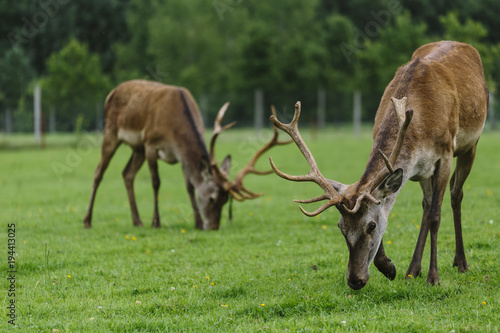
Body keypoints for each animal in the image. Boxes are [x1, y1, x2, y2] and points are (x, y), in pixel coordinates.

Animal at [84, 79, 290, 230]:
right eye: (212, 198)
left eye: (226, 201)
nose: (213, 226)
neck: (173, 127)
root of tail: (111, 93)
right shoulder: (150, 144)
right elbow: (156, 182)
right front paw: (156, 222)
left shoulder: (180, 157)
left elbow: (190, 186)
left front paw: (197, 223)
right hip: (111, 133)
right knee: (98, 172)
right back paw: (87, 221)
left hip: (137, 148)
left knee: (127, 174)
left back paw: (137, 221)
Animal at [270, 41, 488, 290]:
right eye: (341, 226)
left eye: (371, 226)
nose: (354, 280)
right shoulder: (419, 167)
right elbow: (397, 207)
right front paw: (389, 267)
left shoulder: (444, 155)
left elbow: (435, 216)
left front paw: (434, 278)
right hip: (426, 172)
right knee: (425, 204)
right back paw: (413, 269)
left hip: (471, 145)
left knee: (455, 194)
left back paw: (460, 262)